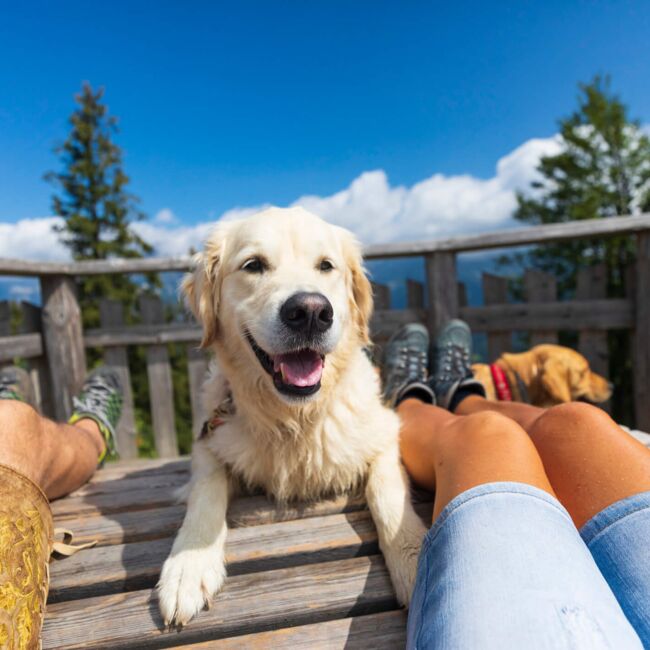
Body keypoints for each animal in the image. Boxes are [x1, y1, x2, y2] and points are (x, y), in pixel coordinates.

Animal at [157, 206, 426, 624]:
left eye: (326, 266)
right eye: (253, 265)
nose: (311, 311)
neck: (295, 419)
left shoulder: (385, 433)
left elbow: (388, 495)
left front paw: (415, 561)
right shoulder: (208, 442)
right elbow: (205, 490)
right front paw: (189, 564)